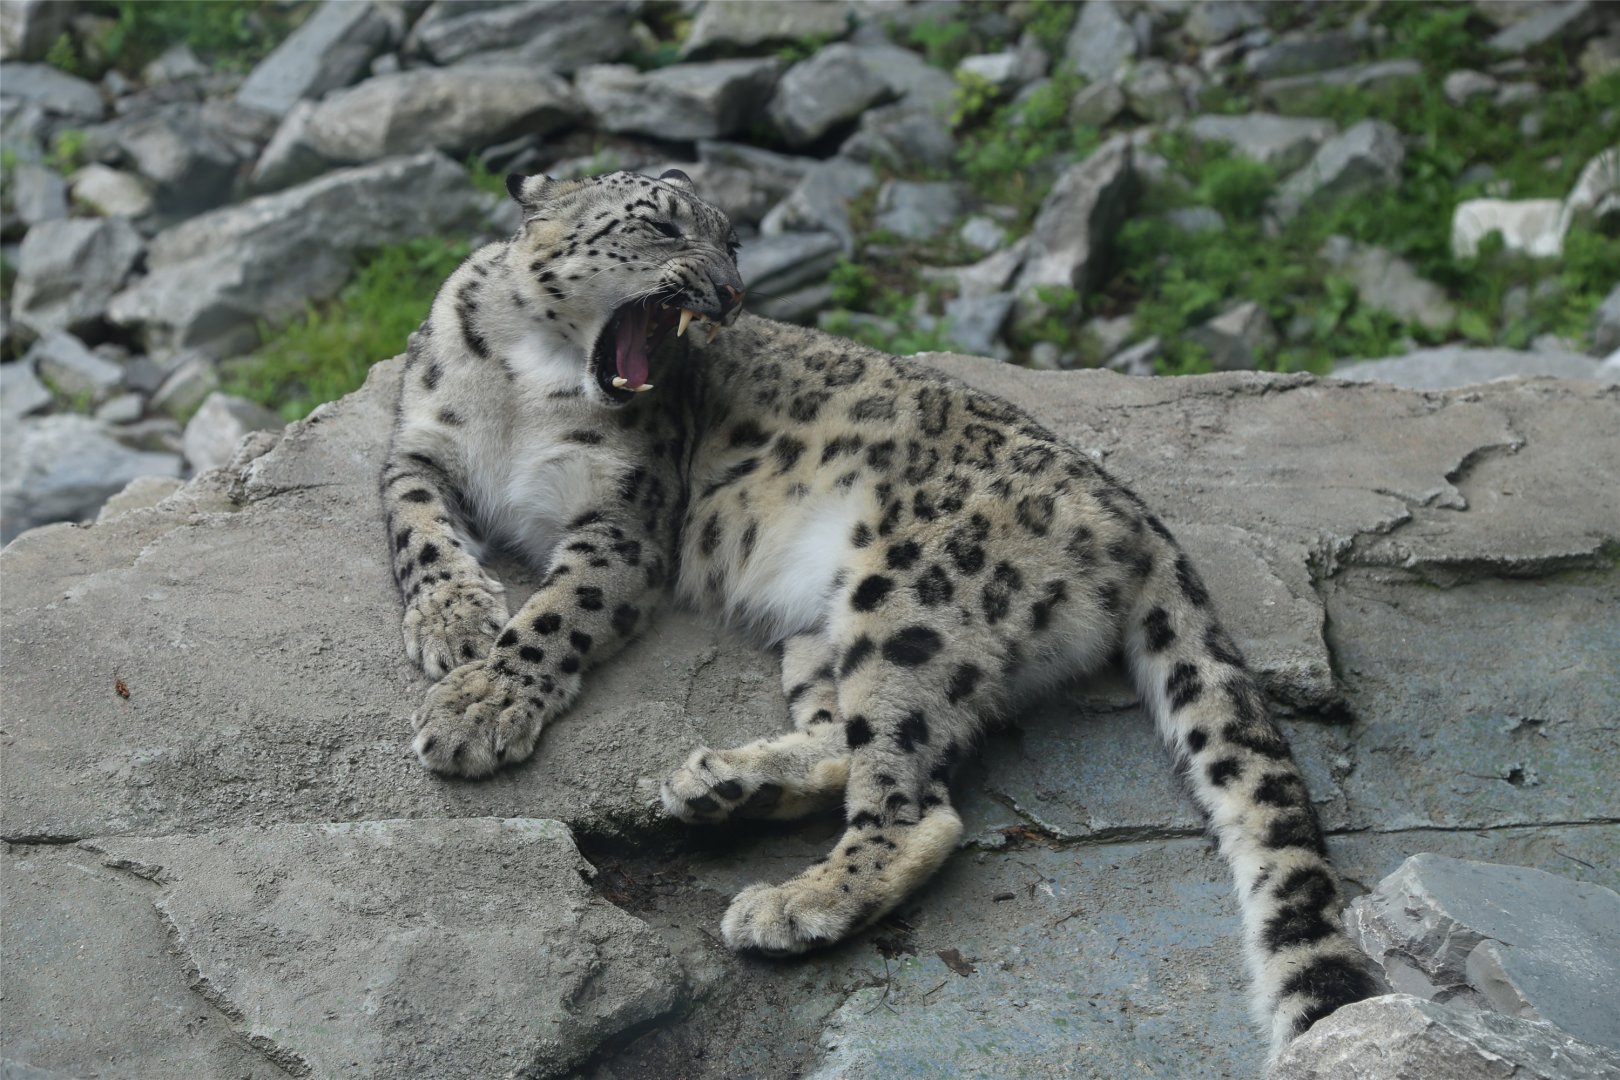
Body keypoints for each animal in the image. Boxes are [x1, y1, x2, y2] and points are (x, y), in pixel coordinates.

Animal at [378, 168, 1377, 1060]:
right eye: (660, 226)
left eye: (734, 243)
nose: (731, 292)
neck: (527, 381)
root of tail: (1130, 510)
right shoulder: (416, 447)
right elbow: (415, 527)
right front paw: (454, 625)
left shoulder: (623, 520)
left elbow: (557, 612)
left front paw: (477, 708)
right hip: (820, 632)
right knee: (845, 742)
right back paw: (724, 787)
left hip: (913, 605)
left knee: (915, 801)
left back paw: (790, 903)